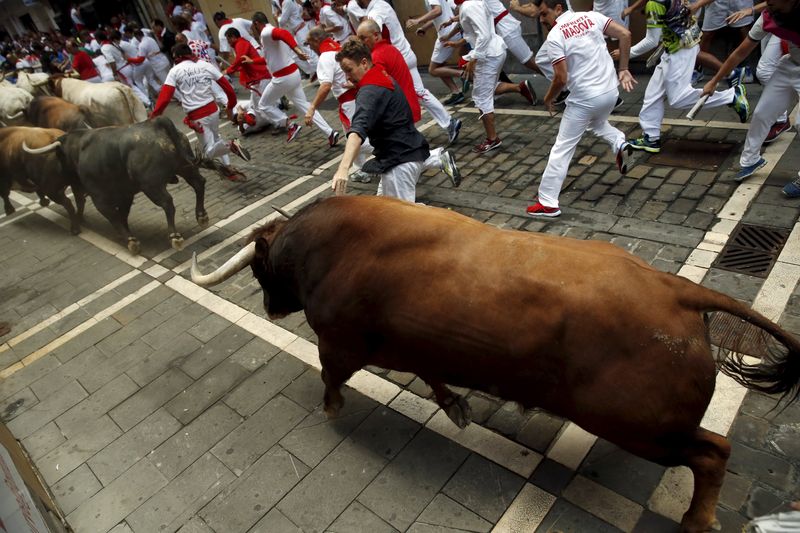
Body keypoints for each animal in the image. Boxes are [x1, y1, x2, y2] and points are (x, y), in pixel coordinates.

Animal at [26, 117, 209, 254]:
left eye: (59, 155)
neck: (79, 148)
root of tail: (155, 123)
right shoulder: (125, 194)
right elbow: (122, 215)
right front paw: (125, 235)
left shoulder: (99, 197)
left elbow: (113, 217)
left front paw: (131, 241)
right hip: (185, 168)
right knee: (199, 184)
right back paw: (201, 216)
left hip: (151, 185)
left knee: (167, 203)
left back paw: (175, 236)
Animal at [192, 195, 800, 532]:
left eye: (260, 268)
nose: (271, 308)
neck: (322, 247)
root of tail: (675, 290)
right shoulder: (414, 347)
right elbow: (434, 378)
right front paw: (456, 408)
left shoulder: (338, 342)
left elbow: (330, 376)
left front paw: (332, 409)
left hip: (642, 427)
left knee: (713, 453)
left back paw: (698, 520)